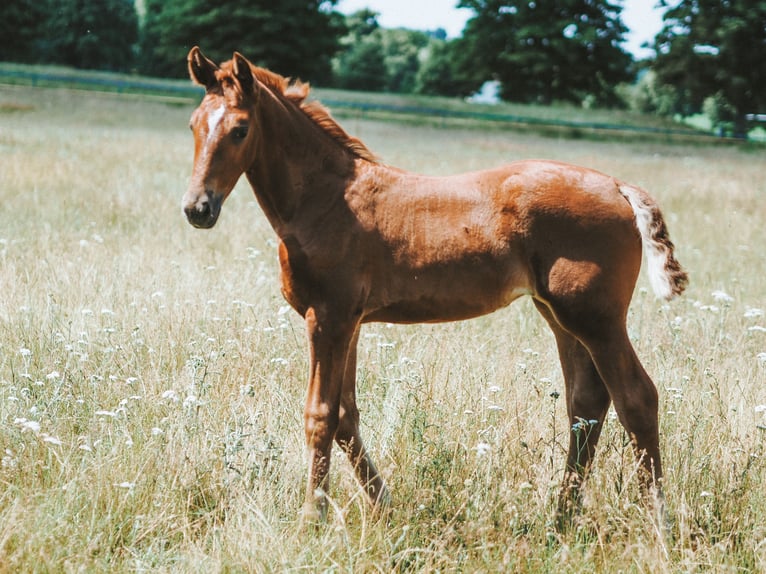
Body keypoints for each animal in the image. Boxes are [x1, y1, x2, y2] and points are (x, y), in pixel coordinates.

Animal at [182, 49, 688, 528]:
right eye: (193, 125)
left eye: (240, 130)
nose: (197, 208)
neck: (325, 200)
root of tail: (619, 186)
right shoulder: (350, 323)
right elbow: (346, 416)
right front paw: (384, 505)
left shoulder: (327, 318)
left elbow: (321, 416)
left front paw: (313, 519)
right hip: (559, 316)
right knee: (586, 403)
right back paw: (561, 519)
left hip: (596, 319)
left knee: (637, 399)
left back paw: (659, 524)